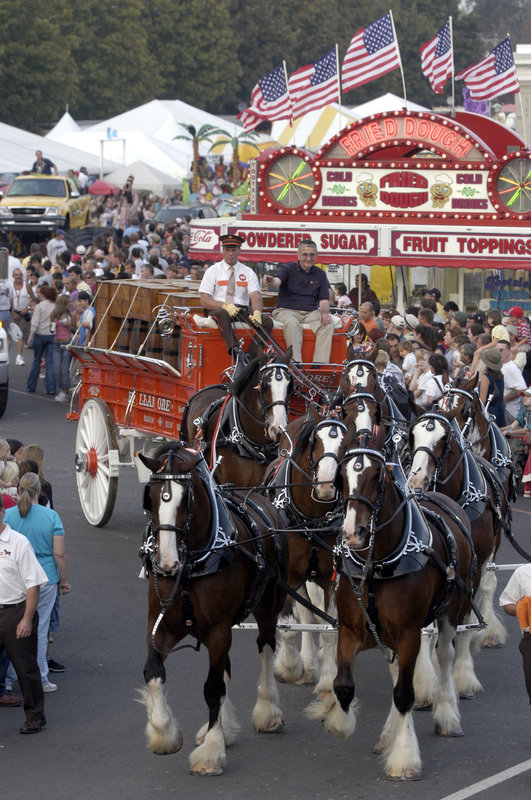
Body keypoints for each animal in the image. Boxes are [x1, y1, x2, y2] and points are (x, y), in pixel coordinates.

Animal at [137, 444, 286, 776]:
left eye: (186, 498)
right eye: (150, 496)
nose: (166, 564)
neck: (190, 566)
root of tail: (259, 499)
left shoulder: (218, 630)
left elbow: (212, 688)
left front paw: (211, 753)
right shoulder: (159, 625)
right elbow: (153, 671)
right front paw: (164, 733)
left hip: (268, 607)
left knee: (266, 647)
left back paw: (267, 710)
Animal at [264, 412, 344, 692]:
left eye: (347, 443)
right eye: (314, 441)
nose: (326, 486)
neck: (311, 519)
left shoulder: (330, 578)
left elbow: (330, 626)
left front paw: (330, 680)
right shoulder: (287, 576)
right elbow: (290, 623)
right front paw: (289, 667)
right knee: (305, 612)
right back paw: (306, 666)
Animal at [308, 428, 478, 780]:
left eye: (377, 474)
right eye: (343, 475)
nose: (353, 532)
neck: (379, 564)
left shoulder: (410, 632)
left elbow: (404, 693)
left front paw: (404, 757)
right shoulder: (351, 629)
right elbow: (344, 684)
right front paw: (338, 722)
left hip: (451, 610)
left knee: (444, 656)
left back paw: (446, 715)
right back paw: (388, 734)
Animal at [412, 410, 508, 704]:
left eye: (444, 440)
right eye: (412, 436)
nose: (417, 480)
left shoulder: (471, 569)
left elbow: (465, 617)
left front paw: (464, 677)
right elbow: (426, 627)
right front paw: (424, 681)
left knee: (486, 589)